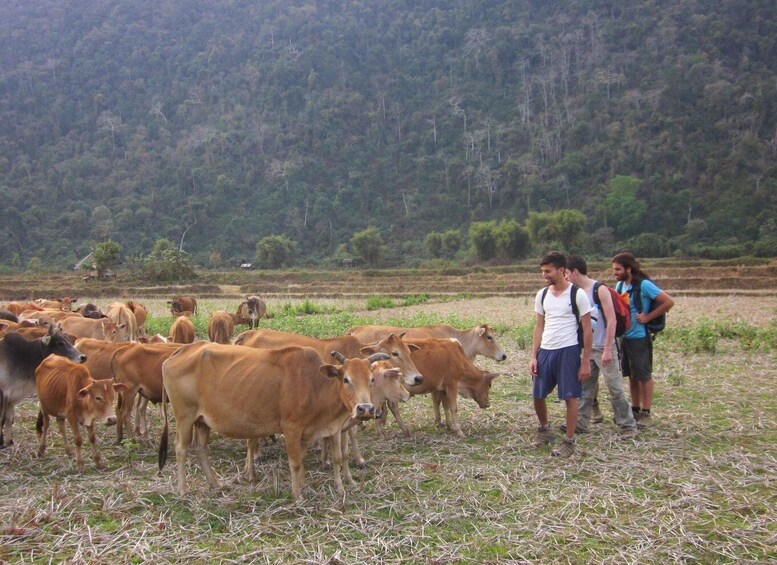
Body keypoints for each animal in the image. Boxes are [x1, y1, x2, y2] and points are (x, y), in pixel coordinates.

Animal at [158, 342, 376, 500]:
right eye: (346, 379)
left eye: (372, 379)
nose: (365, 409)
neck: (314, 385)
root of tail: (184, 348)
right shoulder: (291, 429)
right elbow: (295, 463)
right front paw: (297, 496)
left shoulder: (308, 433)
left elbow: (303, 460)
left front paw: (304, 485)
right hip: (185, 417)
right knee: (181, 448)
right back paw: (183, 490)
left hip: (203, 421)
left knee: (201, 448)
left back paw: (216, 485)